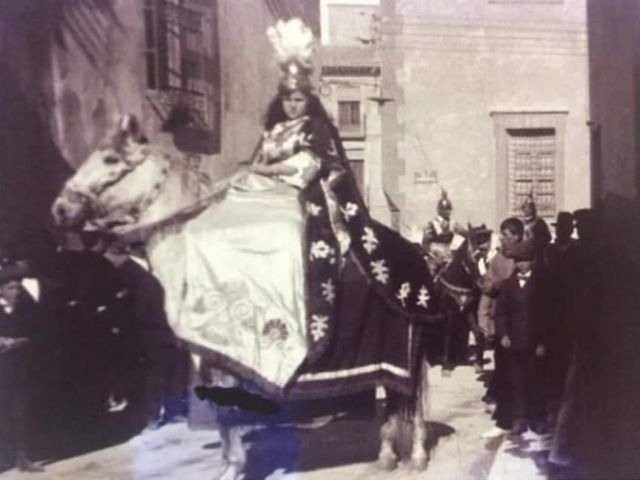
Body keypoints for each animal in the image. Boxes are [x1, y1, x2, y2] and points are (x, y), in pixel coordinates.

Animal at [50, 115, 430, 480]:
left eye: (110, 159)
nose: (60, 209)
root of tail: (415, 252)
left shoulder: (224, 359)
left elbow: (227, 416)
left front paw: (233, 468)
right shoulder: (208, 360)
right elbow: (223, 419)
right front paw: (228, 466)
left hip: (406, 357)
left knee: (411, 402)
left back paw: (417, 457)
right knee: (394, 404)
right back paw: (385, 457)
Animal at [424, 227, 496, 376]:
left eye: (487, 259)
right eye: (475, 257)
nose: (484, 284)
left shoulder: (469, 310)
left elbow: (478, 333)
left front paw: (479, 364)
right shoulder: (448, 312)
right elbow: (448, 336)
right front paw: (446, 367)